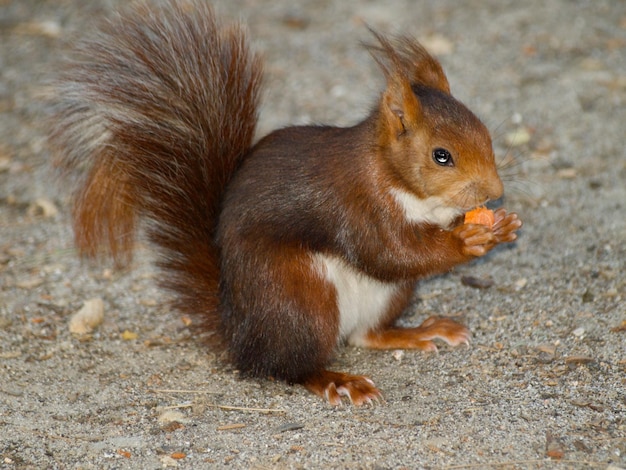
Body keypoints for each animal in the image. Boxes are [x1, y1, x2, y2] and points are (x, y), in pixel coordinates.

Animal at [47, 0, 520, 406]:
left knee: (363, 335)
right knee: (289, 367)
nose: (494, 191)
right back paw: (337, 380)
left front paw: (495, 224)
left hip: (389, 296)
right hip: (299, 296)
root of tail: (240, 334)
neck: (405, 186)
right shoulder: (357, 204)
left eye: (485, 132)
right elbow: (389, 252)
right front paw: (469, 240)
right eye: (442, 156)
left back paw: (418, 332)